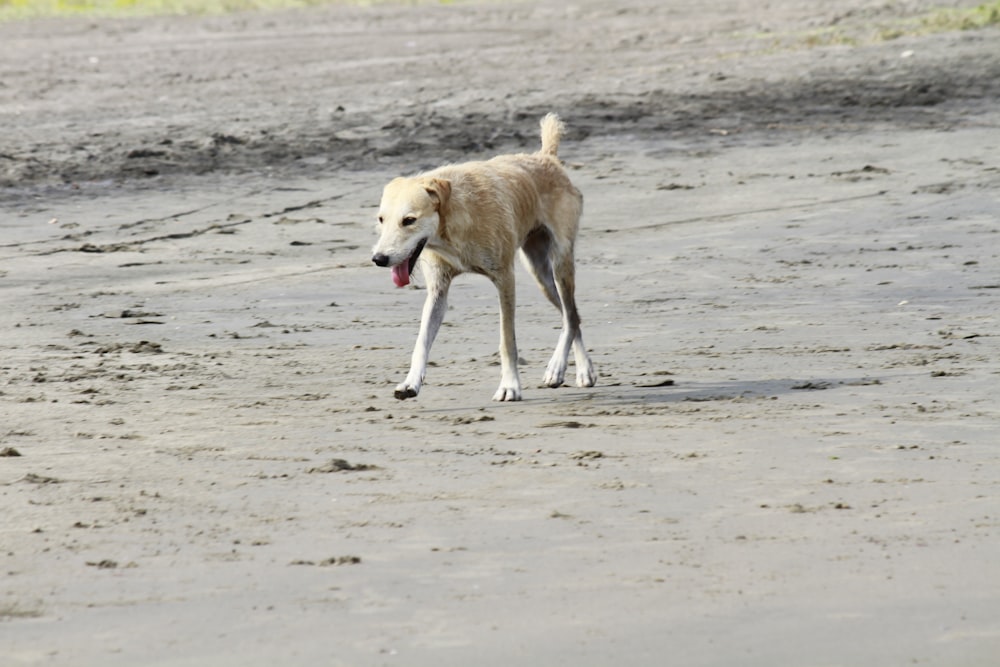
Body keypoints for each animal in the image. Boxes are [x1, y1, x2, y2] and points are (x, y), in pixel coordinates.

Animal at [374, 113, 592, 402]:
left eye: (409, 220)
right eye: (381, 219)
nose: (379, 258)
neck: (452, 219)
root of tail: (546, 158)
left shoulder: (505, 280)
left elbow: (507, 340)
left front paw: (510, 386)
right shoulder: (438, 291)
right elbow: (421, 342)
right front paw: (410, 383)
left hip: (560, 264)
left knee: (570, 314)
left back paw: (563, 368)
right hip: (541, 275)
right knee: (572, 316)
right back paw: (575, 369)